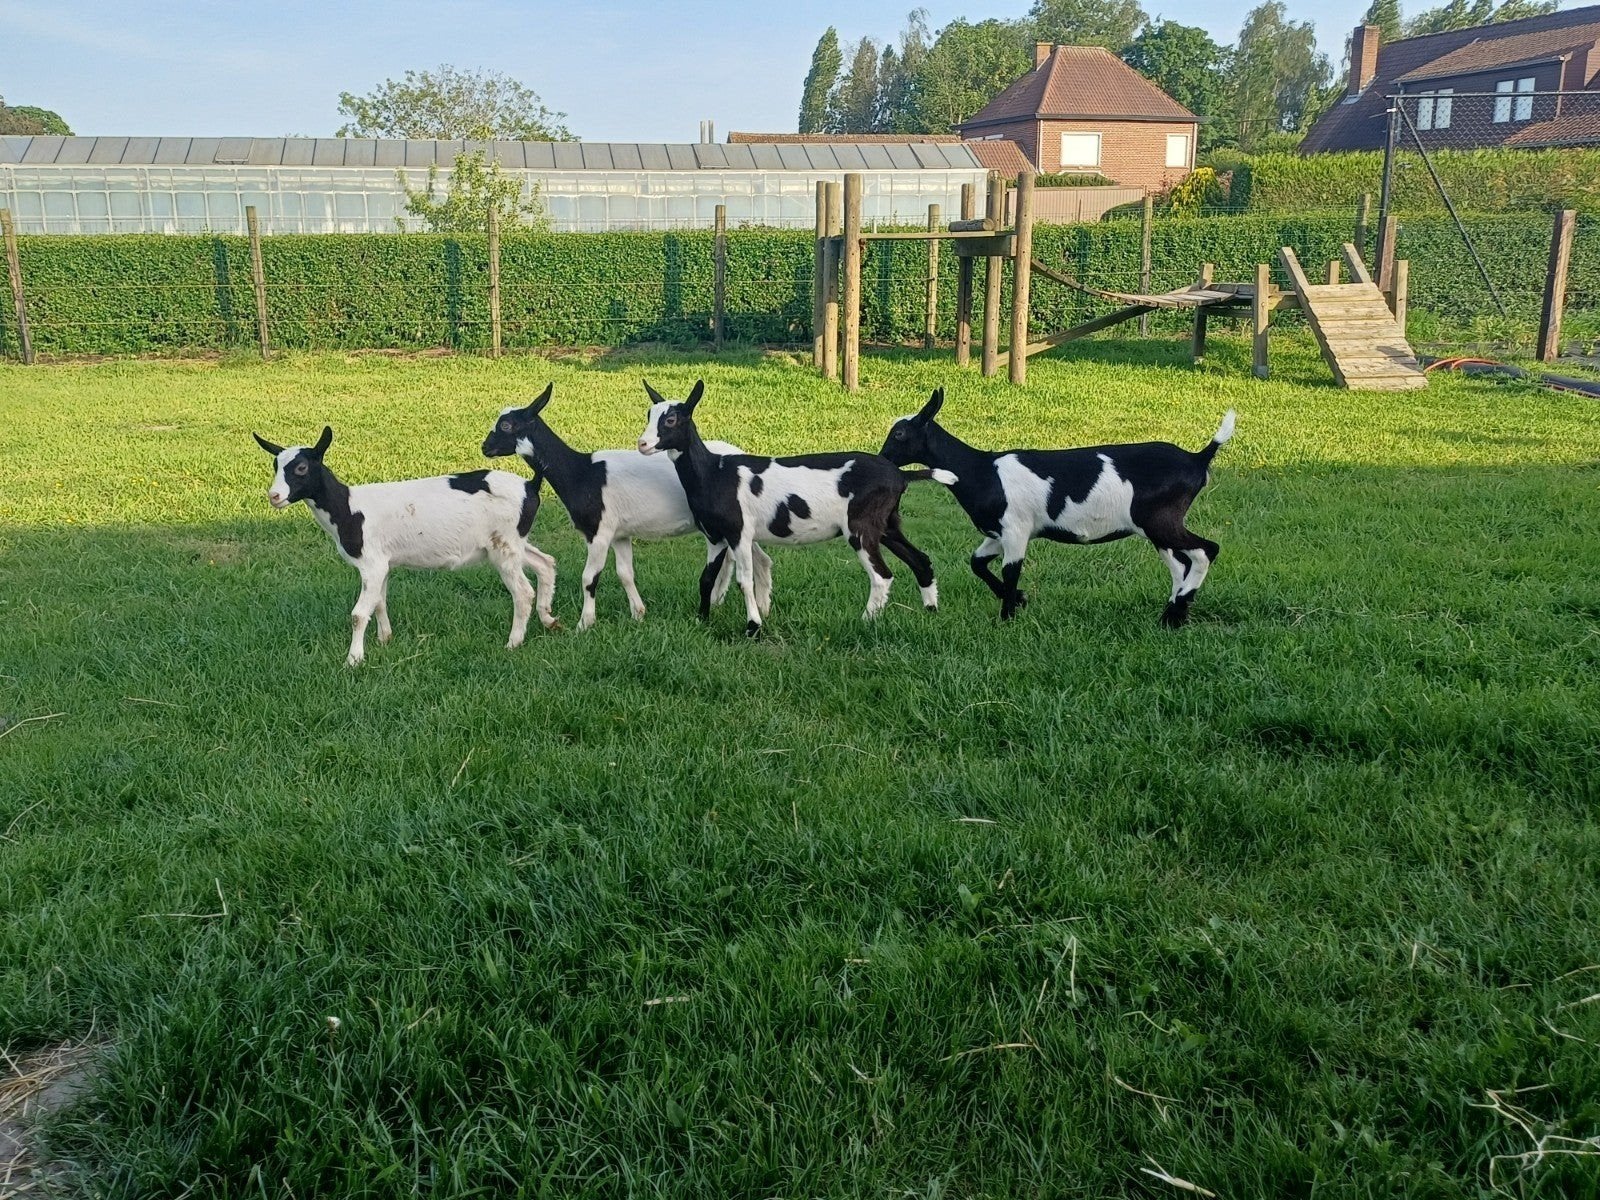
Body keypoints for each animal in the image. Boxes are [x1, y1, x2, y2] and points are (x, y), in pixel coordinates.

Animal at [253, 426, 557, 666]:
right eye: (275, 466)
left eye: (301, 468)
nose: (274, 496)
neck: (348, 508)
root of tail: (531, 486)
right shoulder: (383, 563)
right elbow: (379, 603)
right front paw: (385, 639)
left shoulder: (372, 564)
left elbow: (358, 614)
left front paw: (353, 659)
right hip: (513, 541)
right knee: (545, 562)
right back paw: (549, 620)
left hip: (504, 545)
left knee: (523, 592)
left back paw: (513, 643)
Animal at [482, 383, 773, 628]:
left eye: (506, 425)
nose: (485, 447)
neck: (581, 472)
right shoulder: (620, 533)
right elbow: (625, 574)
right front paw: (638, 614)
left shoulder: (598, 531)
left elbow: (590, 577)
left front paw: (584, 624)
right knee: (752, 557)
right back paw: (755, 605)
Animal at [637, 379, 951, 637]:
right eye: (649, 415)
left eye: (671, 419)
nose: (643, 444)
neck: (714, 473)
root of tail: (900, 476)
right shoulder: (716, 536)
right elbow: (706, 578)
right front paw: (702, 619)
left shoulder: (739, 532)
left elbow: (744, 580)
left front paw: (753, 627)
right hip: (886, 523)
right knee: (920, 559)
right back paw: (930, 611)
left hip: (860, 527)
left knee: (882, 576)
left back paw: (865, 622)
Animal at [879, 389, 1234, 627]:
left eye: (899, 433)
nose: (882, 460)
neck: (981, 471)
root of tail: (1197, 459)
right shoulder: (997, 534)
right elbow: (977, 563)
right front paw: (1020, 600)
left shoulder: (1016, 530)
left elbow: (1010, 571)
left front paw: (1007, 616)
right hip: (1157, 528)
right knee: (1179, 564)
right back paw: (1174, 612)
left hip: (1161, 521)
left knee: (1205, 551)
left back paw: (1175, 614)